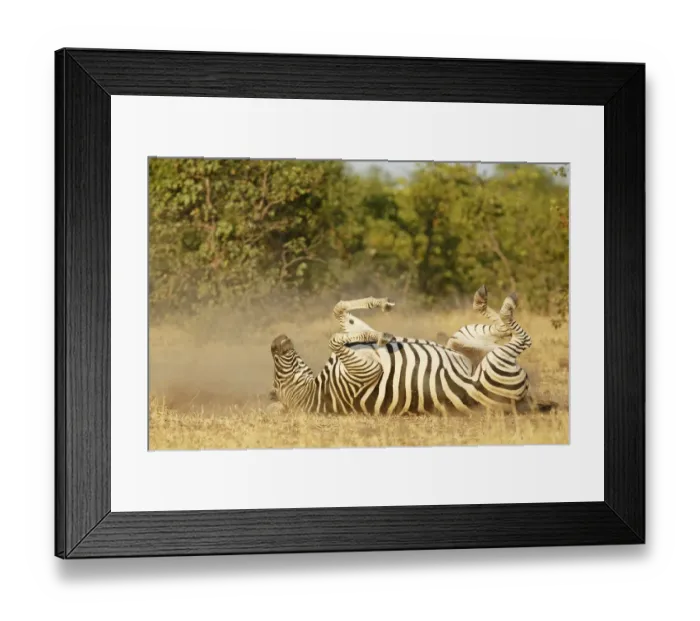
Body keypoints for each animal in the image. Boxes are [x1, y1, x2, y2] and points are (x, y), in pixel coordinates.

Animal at [269, 288, 533, 415]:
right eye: (279, 380)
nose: (275, 341)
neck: (316, 392)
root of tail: (521, 399)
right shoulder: (366, 371)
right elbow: (334, 338)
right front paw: (381, 336)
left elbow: (339, 310)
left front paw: (380, 310)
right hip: (495, 365)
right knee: (522, 339)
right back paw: (507, 304)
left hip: (461, 339)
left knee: (503, 330)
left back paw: (484, 300)